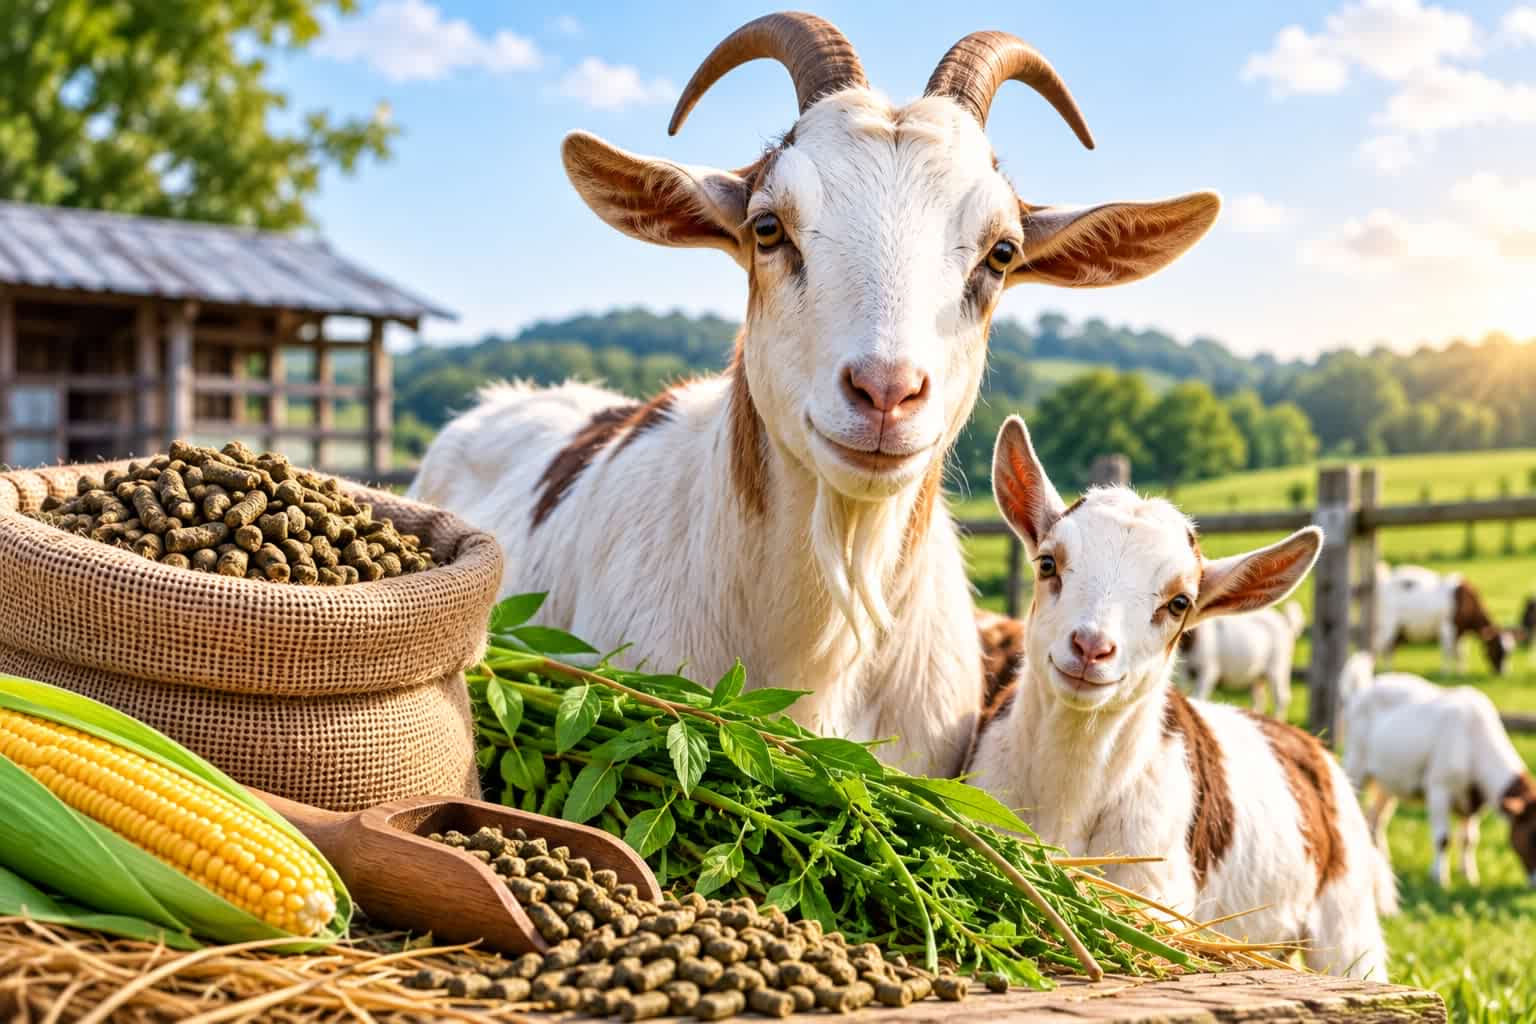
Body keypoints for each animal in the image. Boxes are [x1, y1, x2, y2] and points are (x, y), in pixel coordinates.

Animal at [1176, 603, 1305, 721]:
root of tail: (1285, 621)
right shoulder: (1183, 672)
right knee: (1259, 697)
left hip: (1279, 665)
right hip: (1257, 676)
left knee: (1281, 697)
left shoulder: (1209, 669)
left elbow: (1198, 696)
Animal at [1343, 669, 1536, 888]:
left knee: (1376, 819)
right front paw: (1440, 878)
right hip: (1356, 763)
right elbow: (1443, 838)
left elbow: (1469, 839)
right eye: (1532, 836)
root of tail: (1364, 689)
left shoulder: (1472, 803)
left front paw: (1469, 876)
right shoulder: (1438, 788)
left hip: (1388, 783)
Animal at [1372, 563, 1514, 676]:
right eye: (1497, 649)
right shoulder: (1447, 627)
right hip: (1387, 625)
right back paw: (1382, 671)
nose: (1503, 673)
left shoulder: (1461, 633)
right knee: (1381, 647)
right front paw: (1446, 673)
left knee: (1389, 649)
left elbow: (1461, 653)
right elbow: (1448, 651)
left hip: (1398, 629)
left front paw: (1461, 672)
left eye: (1509, 653)